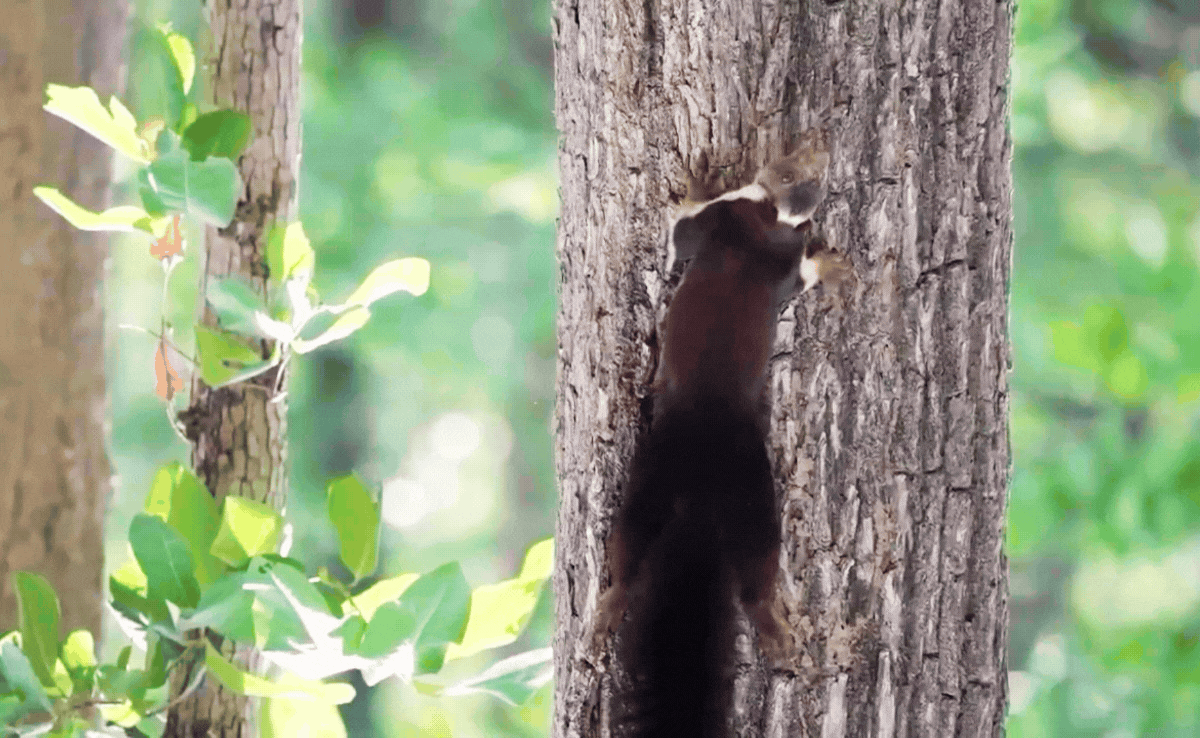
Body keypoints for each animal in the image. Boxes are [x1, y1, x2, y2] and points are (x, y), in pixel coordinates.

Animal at [591, 138, 847, 738]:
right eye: (795, 167)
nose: (820, 140)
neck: (769, 221)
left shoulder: (720, 222)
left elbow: (680, 231)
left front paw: (693, 184)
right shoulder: (770, 252)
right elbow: (796, 276)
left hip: (660, 473)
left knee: (633, 549)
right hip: (741, 493)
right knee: (750, 573)